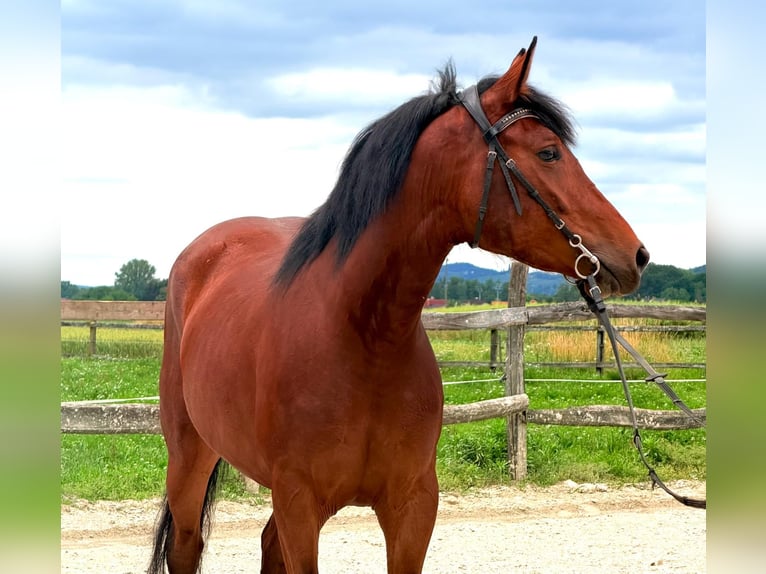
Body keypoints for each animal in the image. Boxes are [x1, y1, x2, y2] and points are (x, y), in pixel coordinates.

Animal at [149, 37, 649, 574]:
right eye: (549, 152)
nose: (637, 255)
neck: (363, 339)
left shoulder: (412, 505)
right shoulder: (299, 505)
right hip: (190, 457)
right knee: (186, 546)